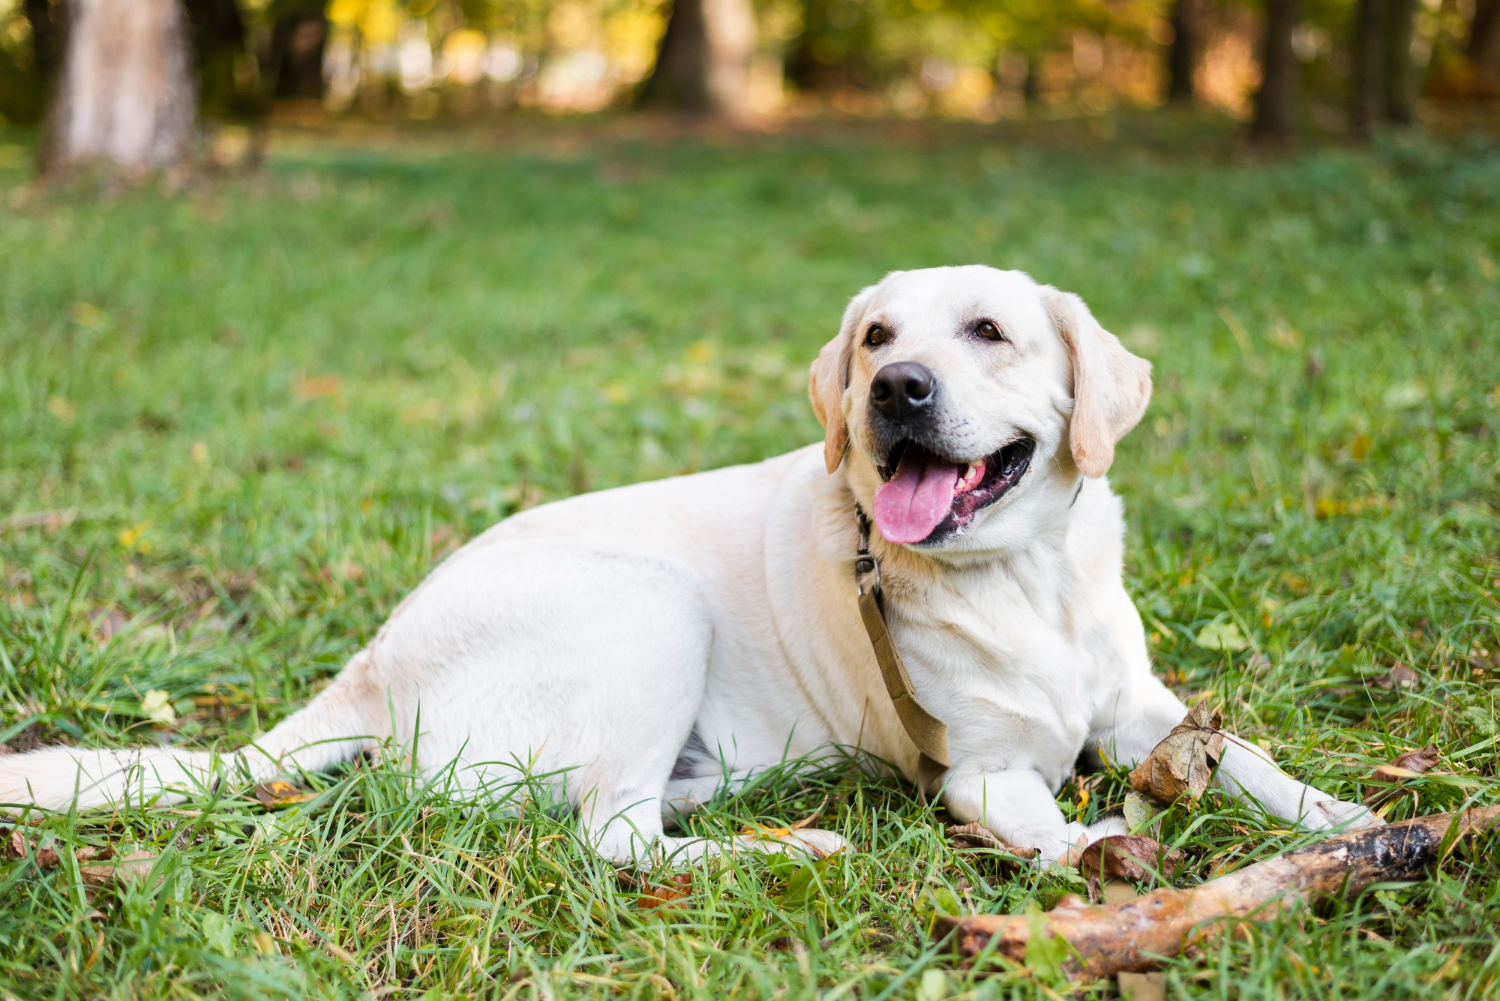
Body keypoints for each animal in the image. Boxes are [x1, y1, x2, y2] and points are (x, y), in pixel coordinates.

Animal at [2, 265, 1380, 864]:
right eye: (876, 335)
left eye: (988, 330)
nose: (894, 387)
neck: (1021, 574)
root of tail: (369, 668)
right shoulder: (982, 771)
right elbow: (1048, 827)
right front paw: (1102, 855)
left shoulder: (1143, 706)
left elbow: (1251, 759)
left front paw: (1352, 820)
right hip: (648, 607)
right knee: (612, 839)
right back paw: (785, 846)